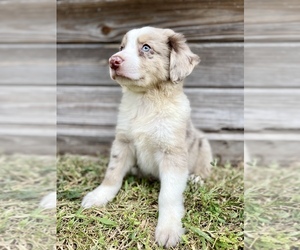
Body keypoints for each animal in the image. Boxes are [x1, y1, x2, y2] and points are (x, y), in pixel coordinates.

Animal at [82, 26, 212, 247]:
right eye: (121, 47)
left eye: (145, 47)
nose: (113, 61)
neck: (146, 100)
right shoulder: (123, 142)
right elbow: (112, 174)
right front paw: (98, 196)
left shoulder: (172, 152)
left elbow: (168, 195)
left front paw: (168, 229)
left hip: (204, 145)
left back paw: (196, 179)